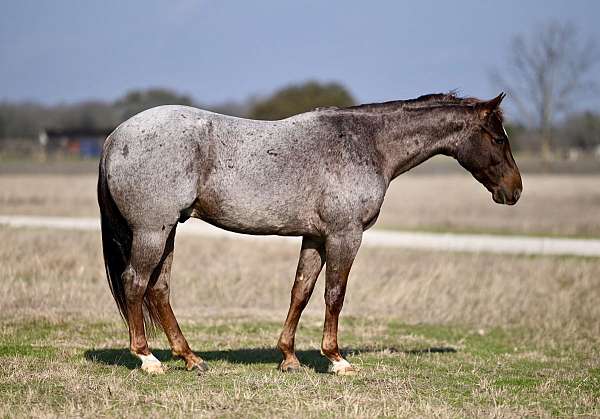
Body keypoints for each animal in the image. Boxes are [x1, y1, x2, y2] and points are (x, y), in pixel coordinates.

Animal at [97, 92, 520, 378]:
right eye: (499, 139)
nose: (514, 191)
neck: (366, 143)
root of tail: (115, 137)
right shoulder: (345, 236)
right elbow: (335, 294)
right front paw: (336, 359)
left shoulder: (315, 238)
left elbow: (300, 292)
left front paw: (289, 357)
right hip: (152, 232)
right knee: (135, 284)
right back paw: (148, 359)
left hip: (167, 232)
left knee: (158, 290)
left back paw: (190, 358)